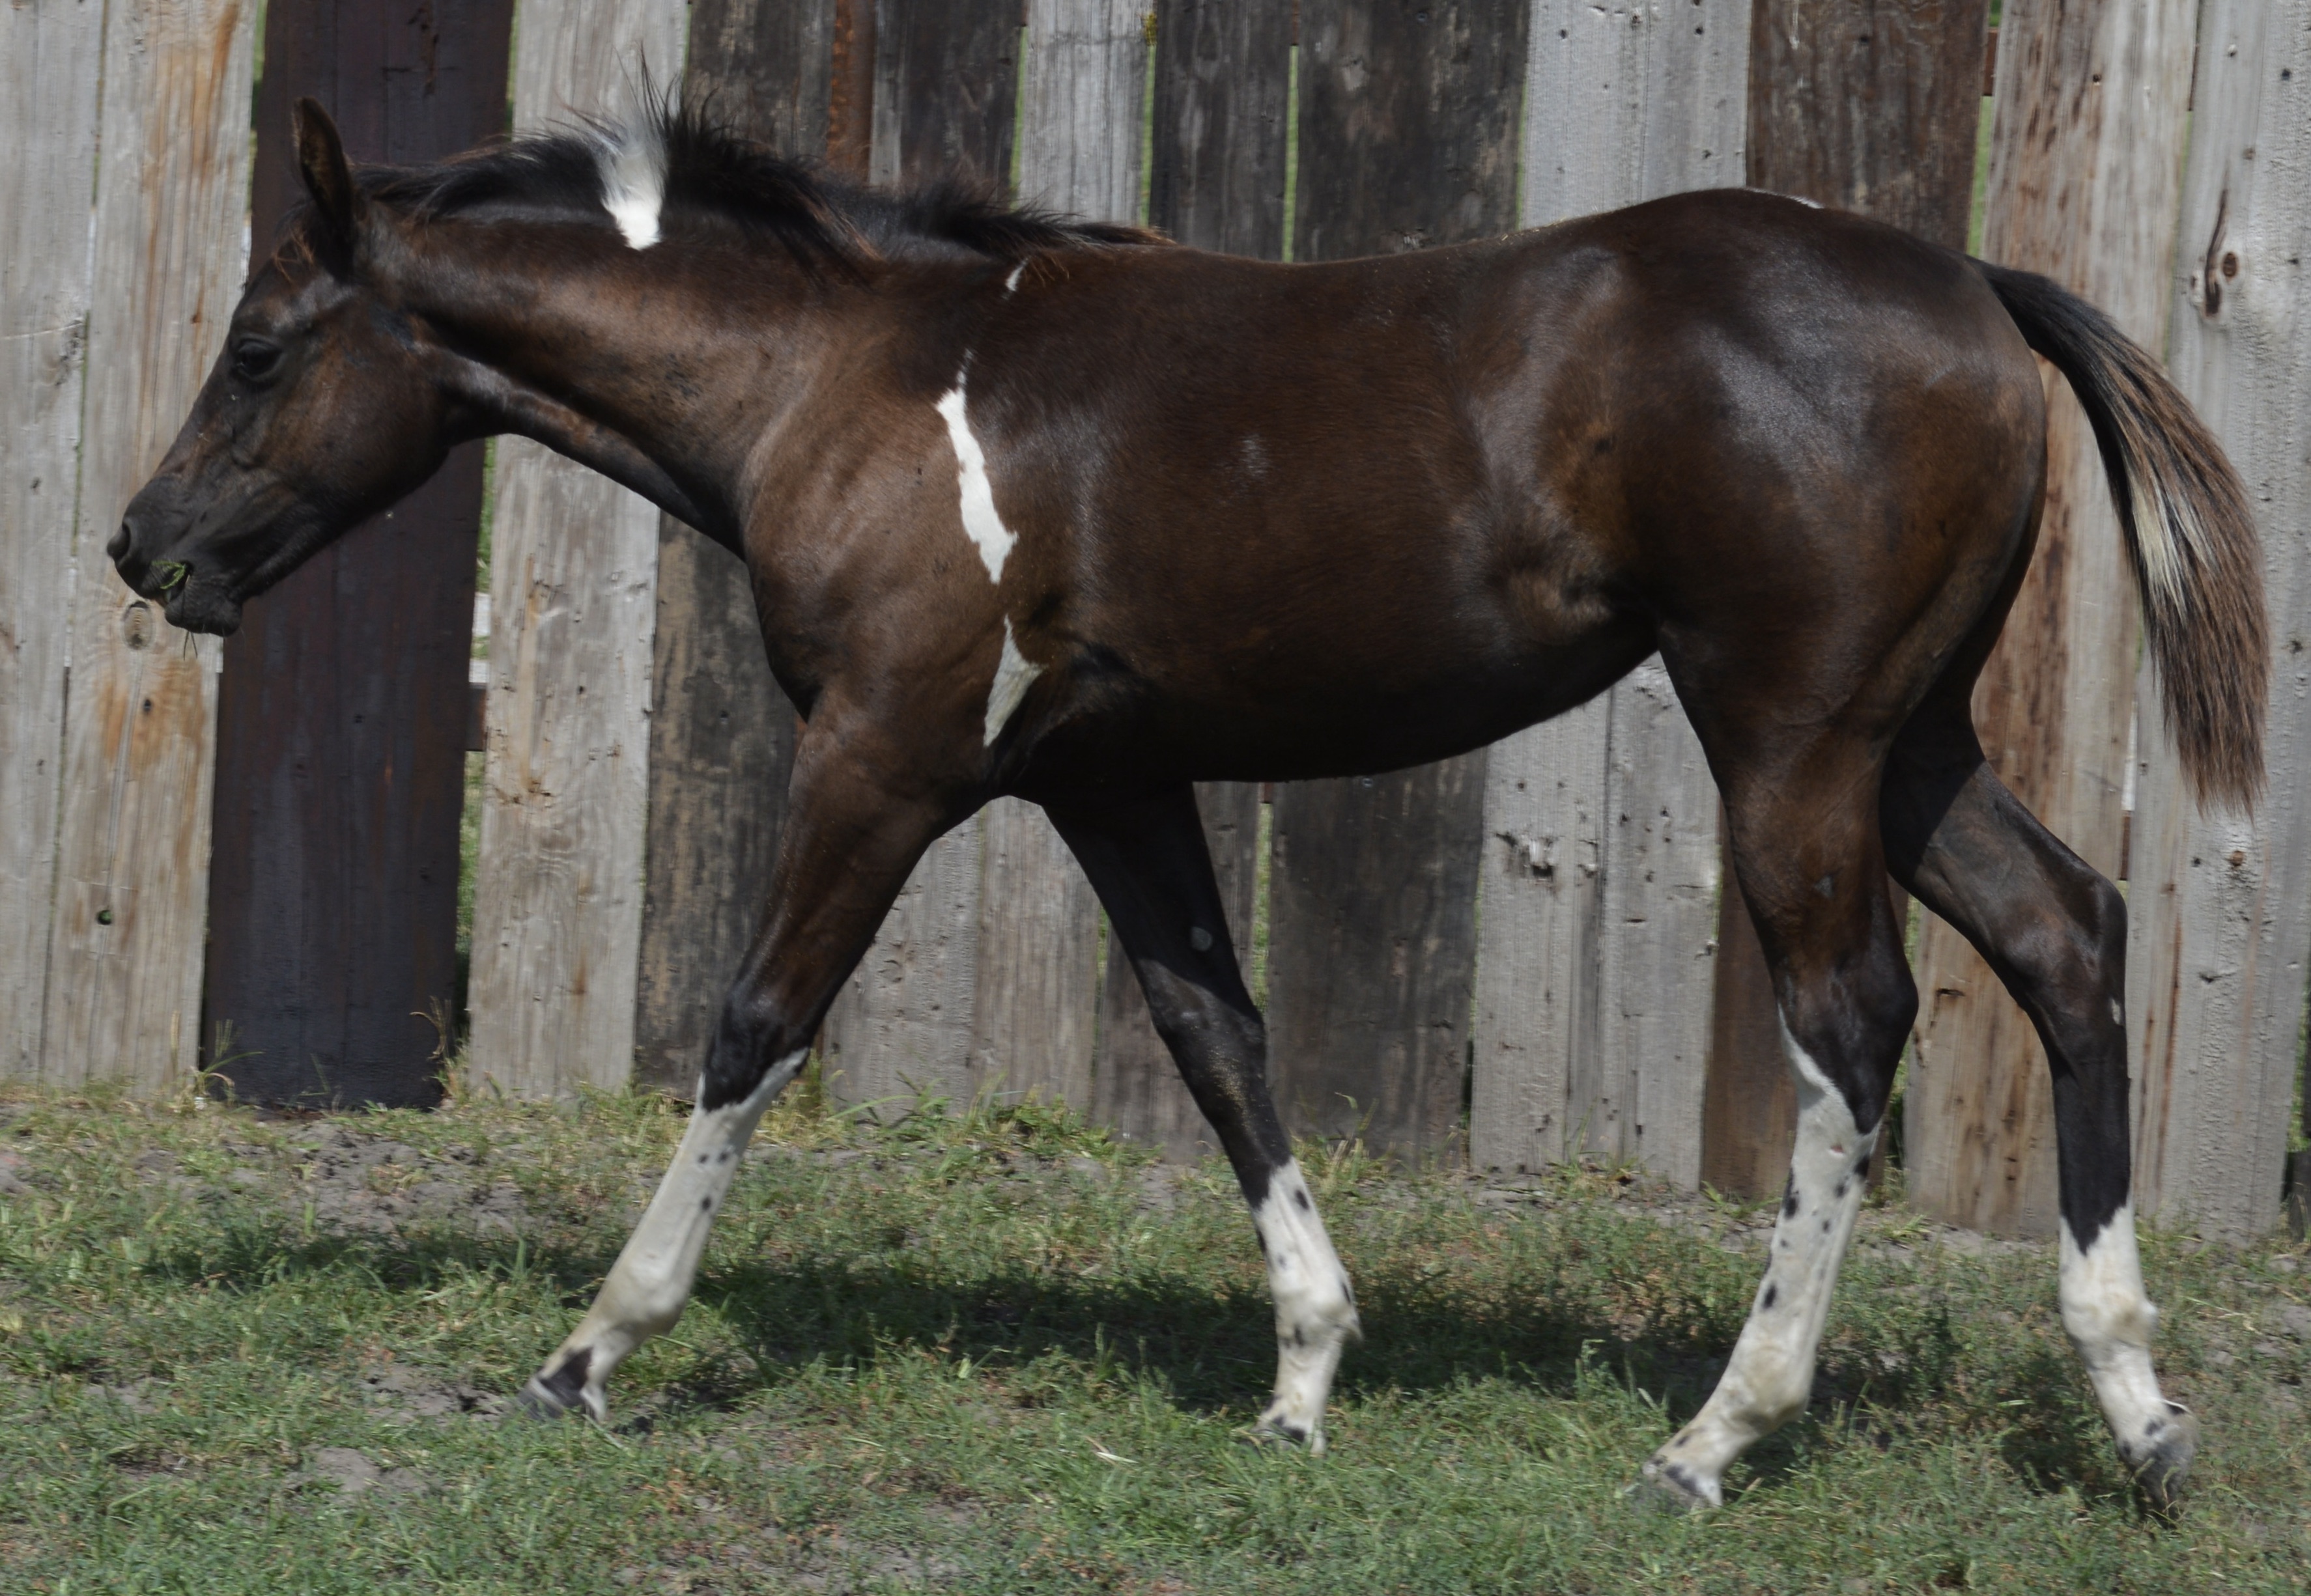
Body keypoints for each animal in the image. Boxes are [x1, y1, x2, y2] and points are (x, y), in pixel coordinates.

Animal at [115, 98, 2265, 1511]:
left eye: (258, 348)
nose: (148, 549)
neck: (849, 380)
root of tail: (1969, 280)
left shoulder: (883, 759)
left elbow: (752, 1024)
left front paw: (589, 1349)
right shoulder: (1114, 779)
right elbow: (1215, 1034)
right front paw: (1305, 1377)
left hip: (1792, 746)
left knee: (1850, 1026)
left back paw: (1714, 1435)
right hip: (1907, 745)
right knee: (2069, 937)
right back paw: (2138, 1413)